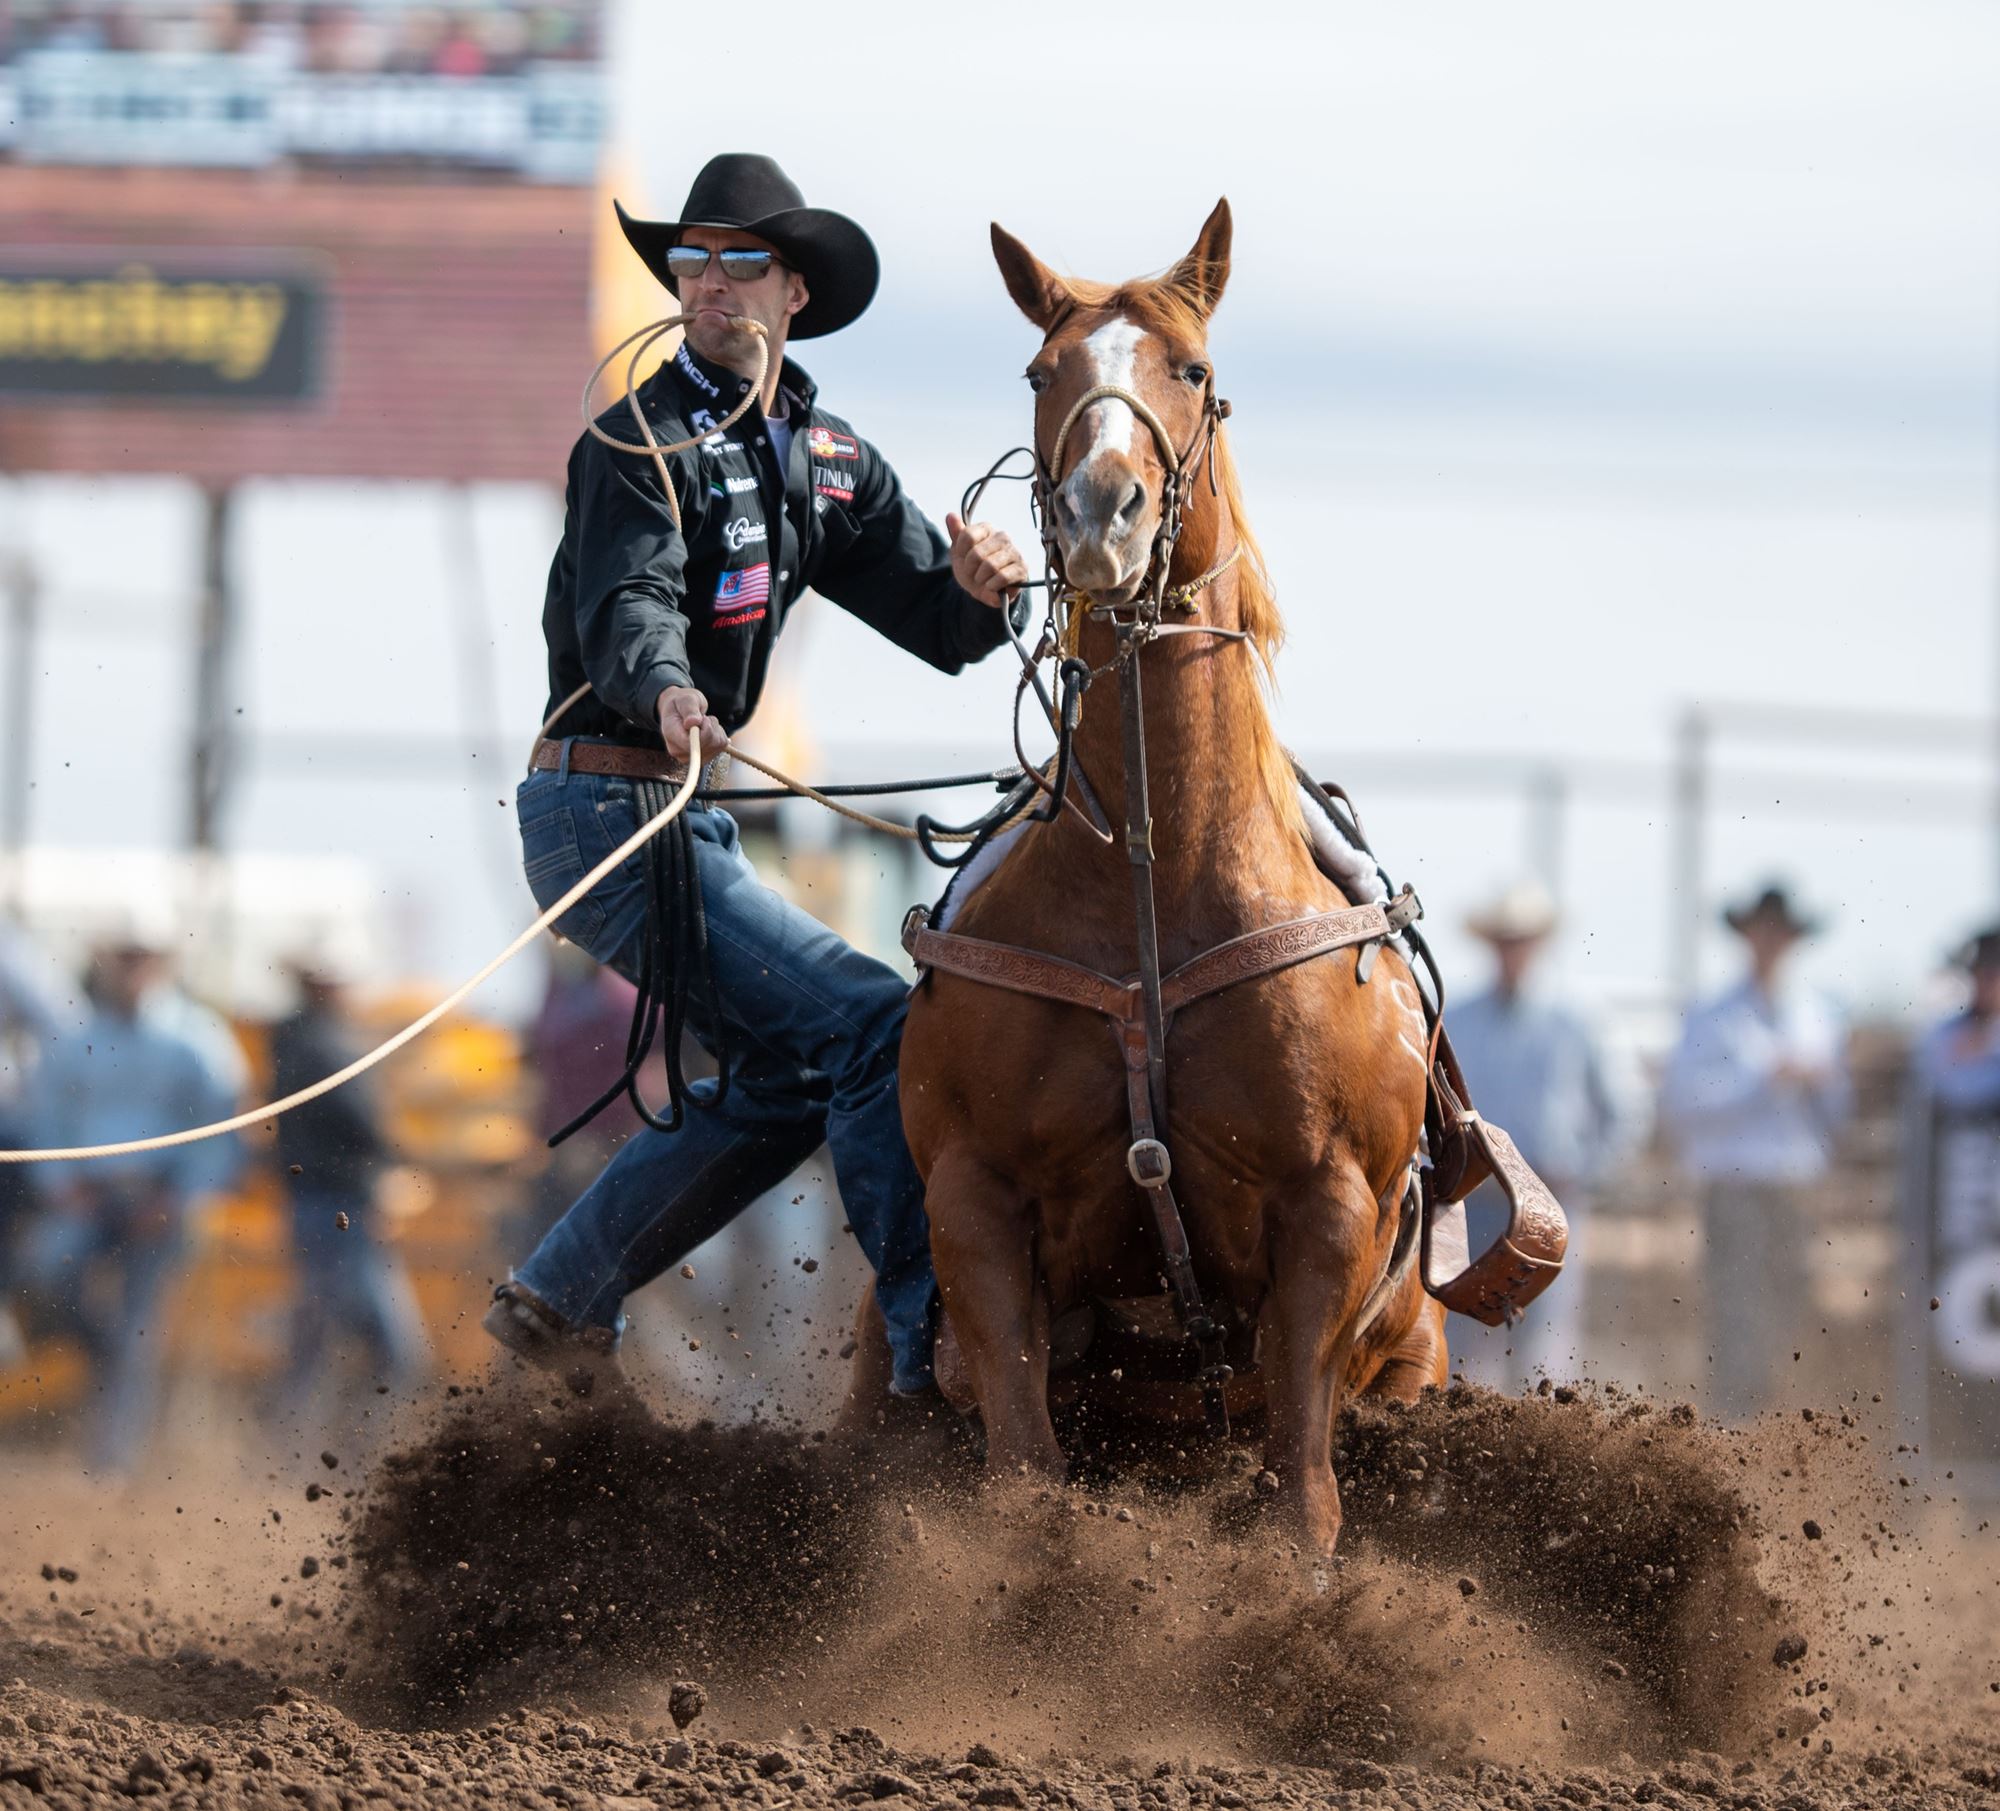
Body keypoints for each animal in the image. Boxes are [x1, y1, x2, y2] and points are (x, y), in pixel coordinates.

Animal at [900, 200, 1448, 1551]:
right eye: (1042, 372)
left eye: (1190, 369)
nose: (1105, 508)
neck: (1157, 889)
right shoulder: (972, 1202)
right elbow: (1021, 1470)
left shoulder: (1328, 1212)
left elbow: (1301, 1489)